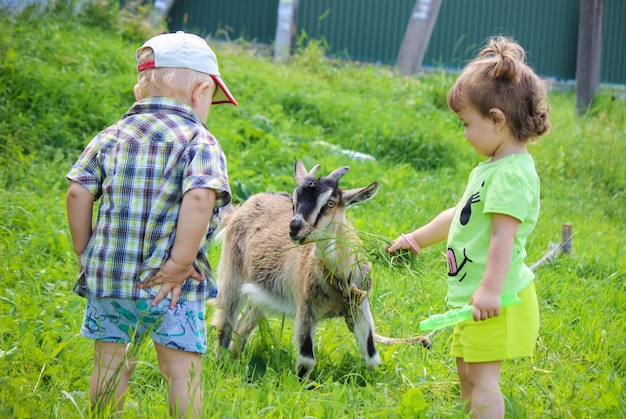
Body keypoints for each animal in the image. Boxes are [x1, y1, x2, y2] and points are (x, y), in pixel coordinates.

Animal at [212, 160, 426, 378]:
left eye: (330, 203)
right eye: (294, 201)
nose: (295, 227)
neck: (340, 278)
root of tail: (243, 206)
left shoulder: (360, 307)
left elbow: (372, 357)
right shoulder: (305, 309)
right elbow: (307, 361)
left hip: (261, 294)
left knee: (243, 324)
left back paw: (235, 360)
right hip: (232, 275)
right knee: (226, 322)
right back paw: (221, 364)